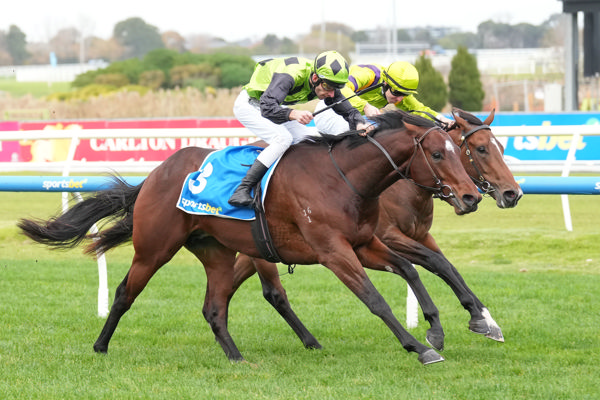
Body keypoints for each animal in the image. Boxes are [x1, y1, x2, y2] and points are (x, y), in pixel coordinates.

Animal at [19, 109, 482, 366]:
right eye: (437, 154)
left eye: (460, 153)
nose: (471, 196)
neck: (343, 178)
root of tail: (153, 175)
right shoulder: (333, 251)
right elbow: (375, 298)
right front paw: (419, 346)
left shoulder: (365, 244)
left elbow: (409, 269)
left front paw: (438, 330)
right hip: (155, 248)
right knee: (124, 293)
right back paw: (100, 346)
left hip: (219, 252)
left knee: (214, 308)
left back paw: (237, 357)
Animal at [230, 108, 520, 352]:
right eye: (481, 149)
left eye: (501, 147)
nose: (513, 193)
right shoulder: (388, 237)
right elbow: (434, 262)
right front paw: (465, 322)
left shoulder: (420, 235)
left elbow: (447, 266)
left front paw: (485, 320)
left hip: (261, 246)